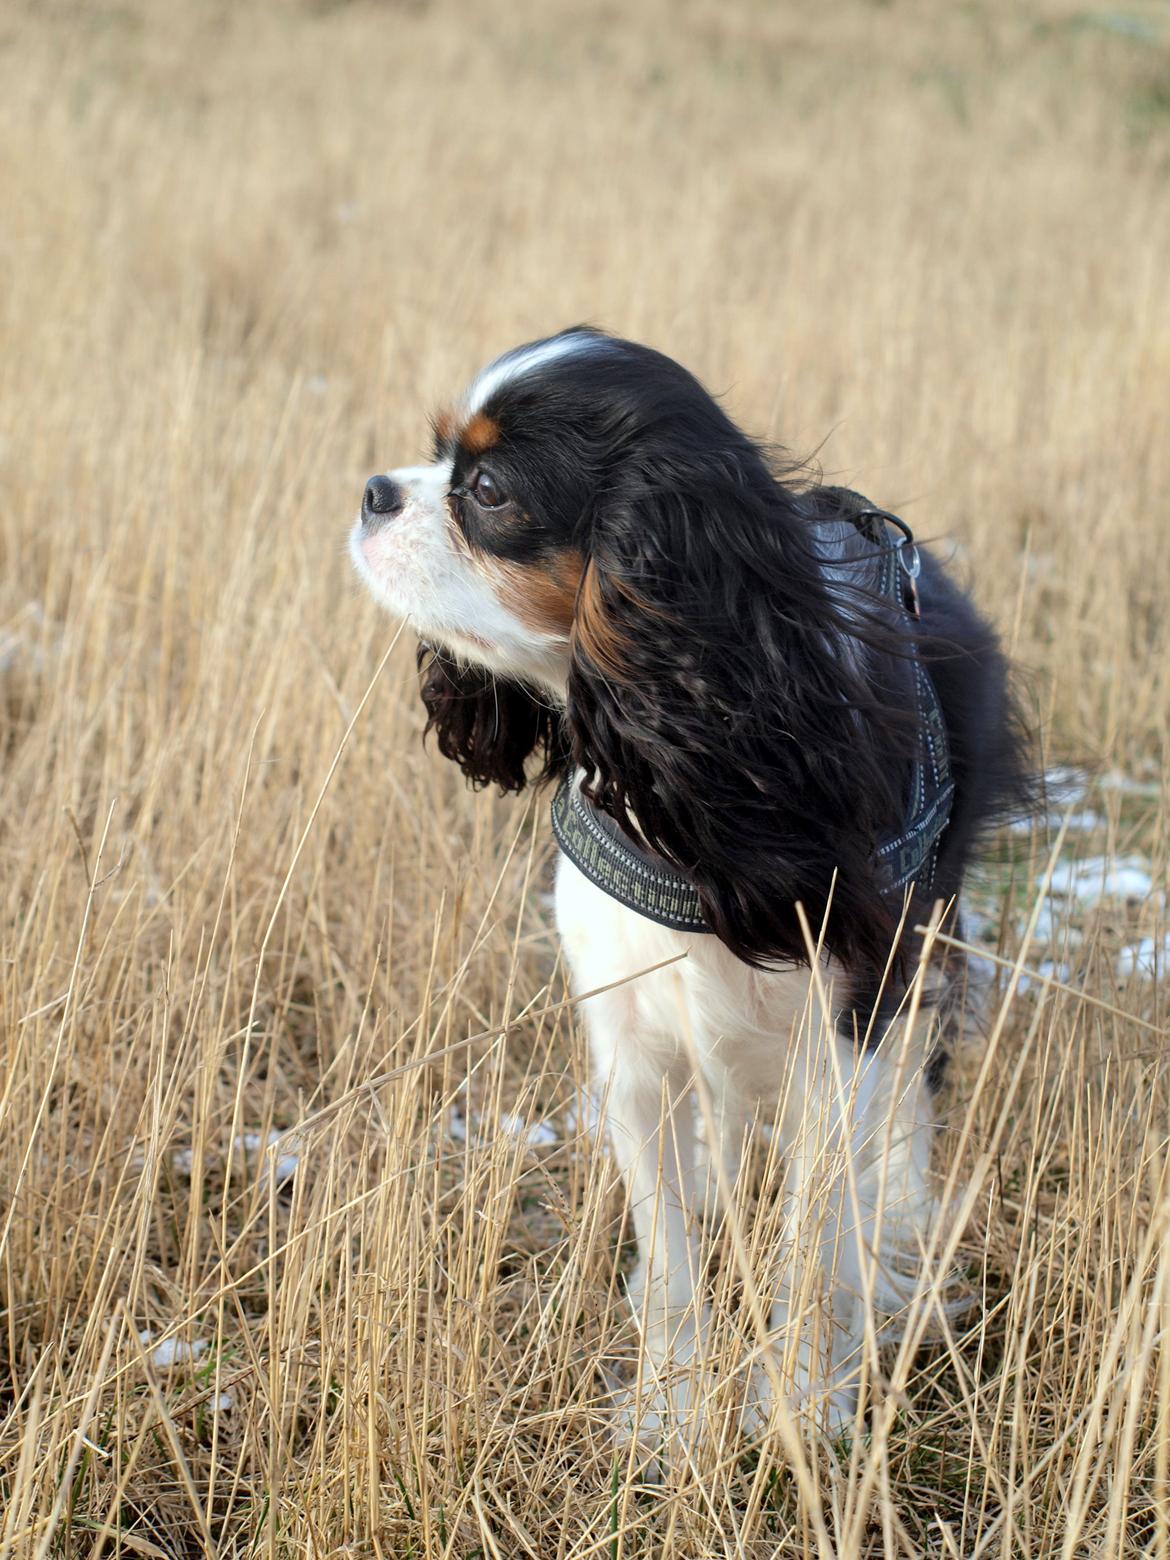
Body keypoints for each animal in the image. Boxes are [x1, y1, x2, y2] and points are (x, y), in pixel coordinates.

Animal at [351, 329, 1035, 1447]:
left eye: (488, 490)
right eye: (436, 452)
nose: (373, 491)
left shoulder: (845, 1036)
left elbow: (812, 1245)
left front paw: (804, 1402)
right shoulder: (632, 1045)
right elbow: (669, 1252)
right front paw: (669, 1414)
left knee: (913, 1100)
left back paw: (899, 1226)